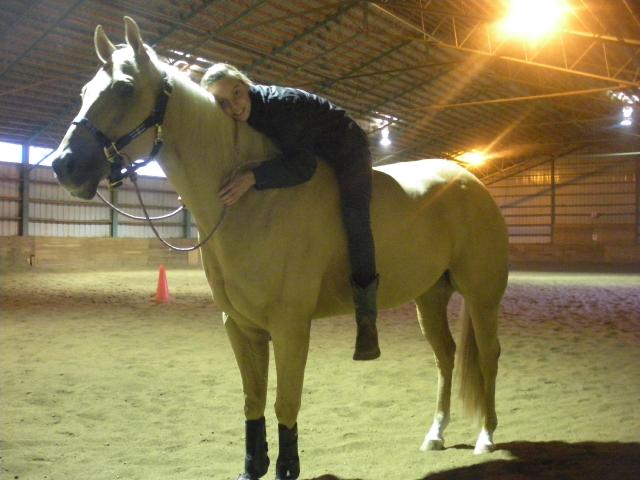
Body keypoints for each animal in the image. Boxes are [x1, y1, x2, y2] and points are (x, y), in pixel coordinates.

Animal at [51, 17, 508, 480]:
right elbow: (253, 403)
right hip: (430, 295)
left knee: (488, 355)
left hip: (481, 296)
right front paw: (252, 465)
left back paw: (486, 437)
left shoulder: (290, 327)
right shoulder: (241, 327)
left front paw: (287, 466)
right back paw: (436, 434)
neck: (253, 202)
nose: (63, 165)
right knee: (446, 356)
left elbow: (284, 403)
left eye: (125, 88)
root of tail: (471, 181)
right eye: (84, 91)